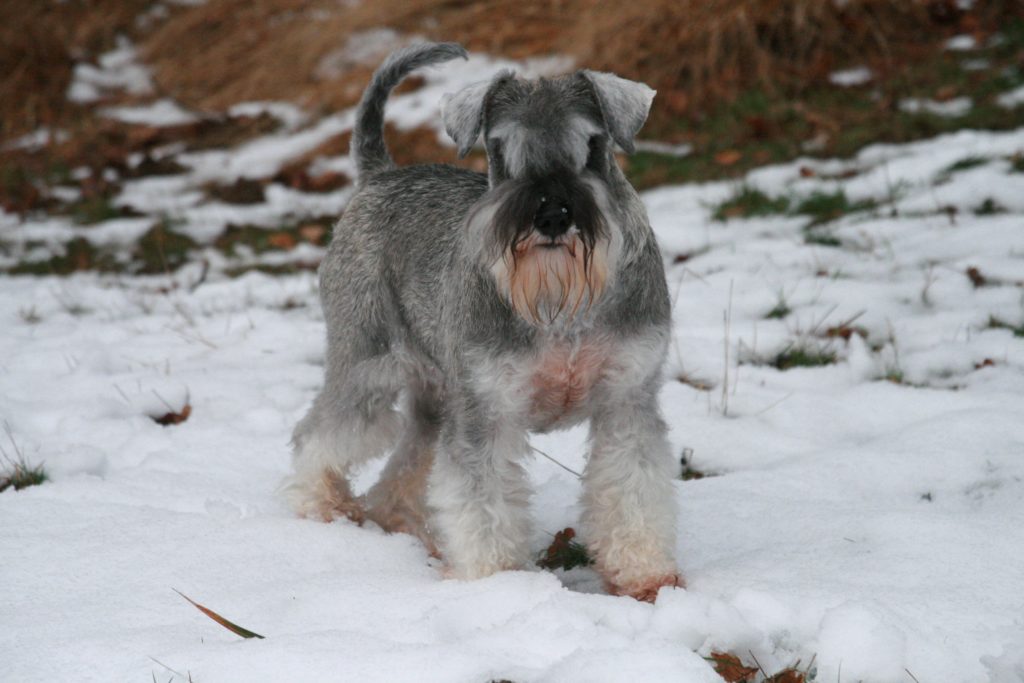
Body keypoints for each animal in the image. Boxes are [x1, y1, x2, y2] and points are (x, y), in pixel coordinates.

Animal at [288, 42, 684, 602]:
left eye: (591, 144)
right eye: (499, 149)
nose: (552, 215)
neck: (561, 306)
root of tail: (380, 176)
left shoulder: (627, 403)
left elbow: (633, 492)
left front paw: (646, 578)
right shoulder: (486, 413)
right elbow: (482, 504)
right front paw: (494, 584)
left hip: (436, 399)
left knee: (406, 463)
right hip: (367, 365)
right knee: (320, 434)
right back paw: (320, 506)